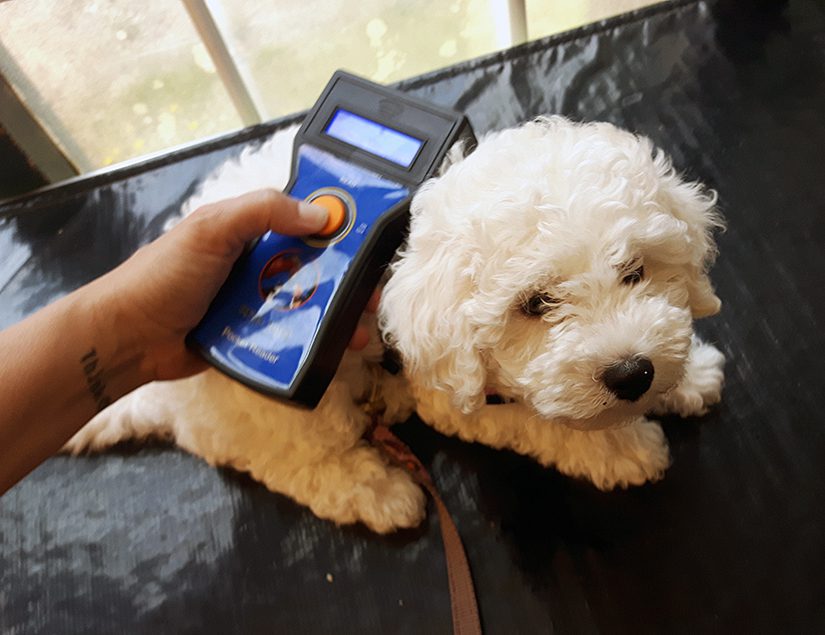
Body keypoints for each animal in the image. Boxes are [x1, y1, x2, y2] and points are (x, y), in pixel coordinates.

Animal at [67, 117, 724, 536]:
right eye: (535, 304)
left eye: (635, 270)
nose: (632, 374)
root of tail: (165, 393)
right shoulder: (453, 392)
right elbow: (547, 424)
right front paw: (625, 446)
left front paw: (686, 374)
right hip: (284, 406)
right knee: (301, 461)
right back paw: (379, 491)